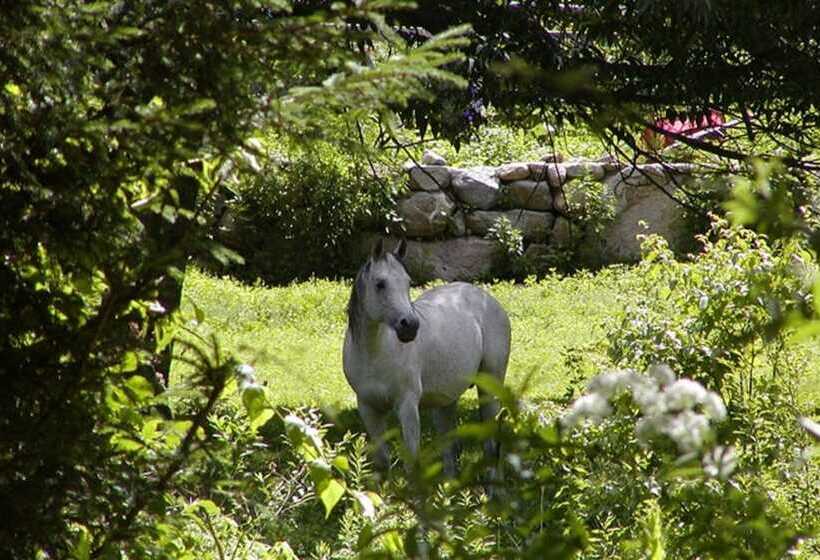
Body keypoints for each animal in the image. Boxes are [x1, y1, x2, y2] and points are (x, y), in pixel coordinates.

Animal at [342, 238, 511, 479]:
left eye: (408, 282)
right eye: (380, 284)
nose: (410, 326)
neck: (374, 355)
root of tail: (486, 298)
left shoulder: (407, 405)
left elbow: (412, 464)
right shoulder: (368, 408)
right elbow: (383, 462)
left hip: (489, 387)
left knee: (491, 446)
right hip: (446, 401)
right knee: (450, 449)